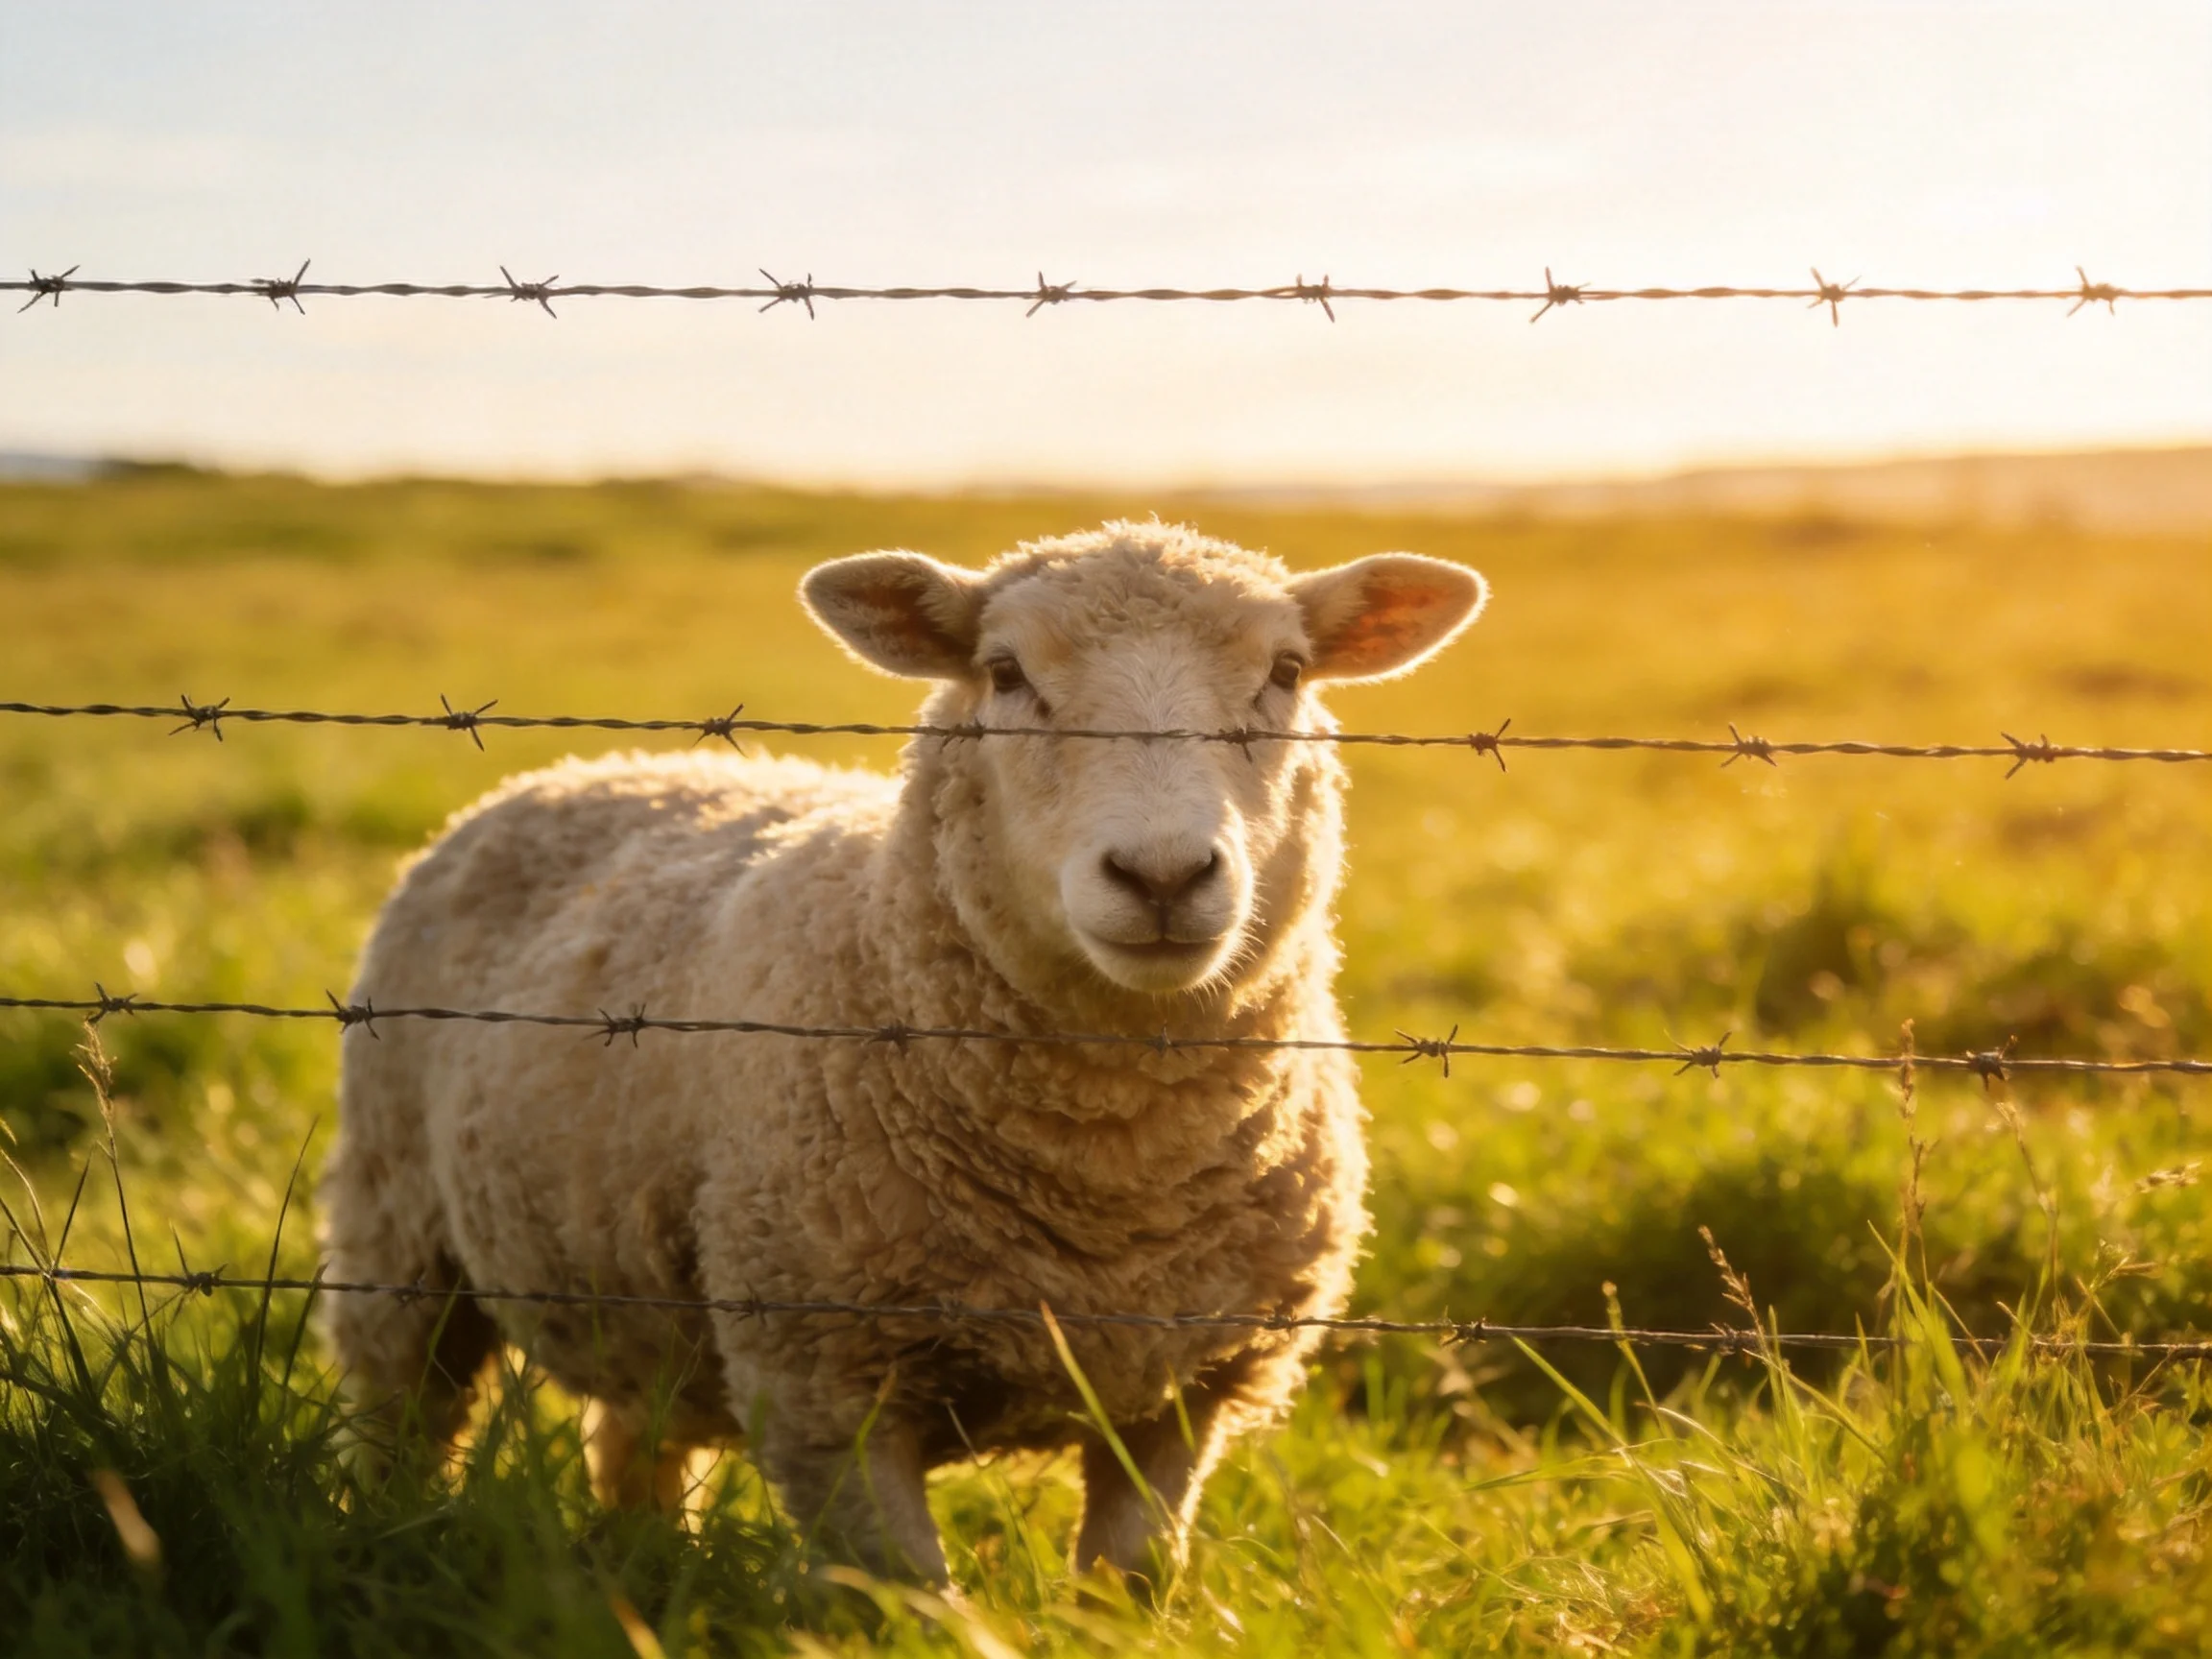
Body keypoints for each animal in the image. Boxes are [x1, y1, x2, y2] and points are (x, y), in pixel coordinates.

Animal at [319, 519, 1486, 1582]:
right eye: (1005, 672)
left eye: (1285, 672)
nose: (1162, 876)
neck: (1111, 1179)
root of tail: (588, 764)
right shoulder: (821, 1381)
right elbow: (910, 1598)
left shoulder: (1187, 1395)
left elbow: (1132, 1580)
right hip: (396, 1223)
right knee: (404, 1405)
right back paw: (384, 1535)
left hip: (639, 1303)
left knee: (635, 1437)